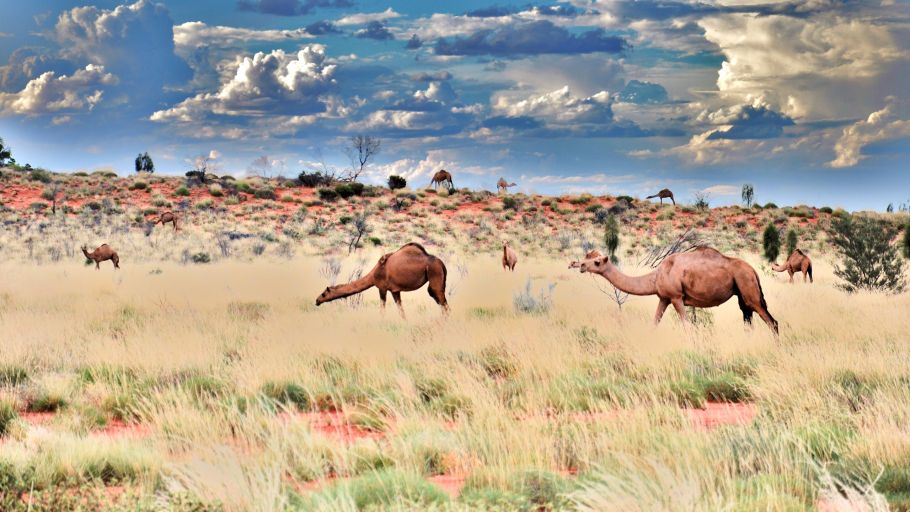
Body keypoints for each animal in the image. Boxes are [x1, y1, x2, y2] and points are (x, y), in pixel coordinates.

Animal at [316, 241, 450, 316]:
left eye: (323, 294)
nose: (317, 301)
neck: (374, 273)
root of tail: (442, 263)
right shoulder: (395, 290)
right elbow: (401, 309)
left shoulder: (382, 288)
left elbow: (382, 308)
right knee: (440, 301)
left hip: (434, 273)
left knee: (441, 300)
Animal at [572, 246, 780, 334]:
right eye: (587, 257)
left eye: (597, 262)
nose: (579, 265)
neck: (656, 276)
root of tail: (753, 270)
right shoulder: (663, 298)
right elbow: (654, 323)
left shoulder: (676, 297)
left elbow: (687, 326)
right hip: (741, 293)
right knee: (748, 319)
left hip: (748, 287)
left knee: (772, 322)